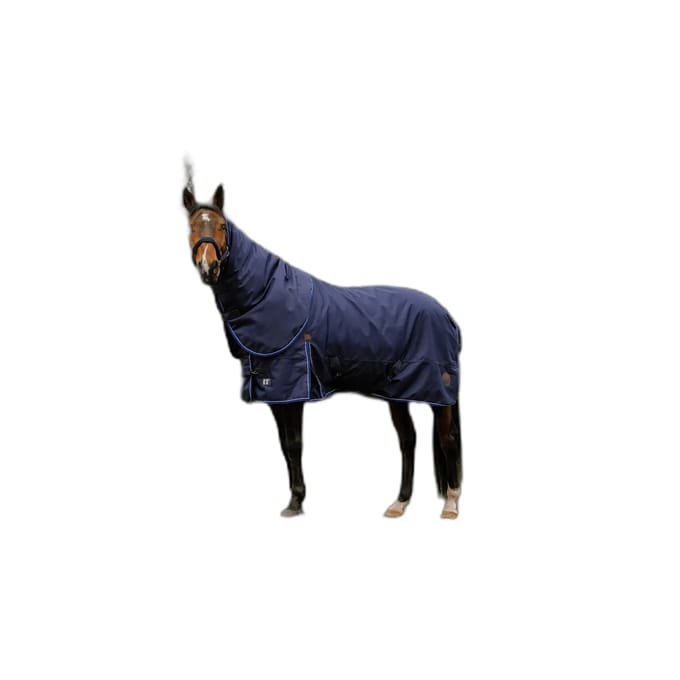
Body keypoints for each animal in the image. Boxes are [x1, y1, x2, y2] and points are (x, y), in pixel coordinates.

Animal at [183, 181, 462, 519]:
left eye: (222, 226)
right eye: (192, 227)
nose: (208, 266)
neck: (269, 295)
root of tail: (447, 316)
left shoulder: (293, 390)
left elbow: (294, 444)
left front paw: (296, 502)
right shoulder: (275, 392)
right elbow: (284, 446)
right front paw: (295, 499)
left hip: (438, 392)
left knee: (447, 439)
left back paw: (450, 504)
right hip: (398, 392)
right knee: (408, 439)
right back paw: (399, 503)